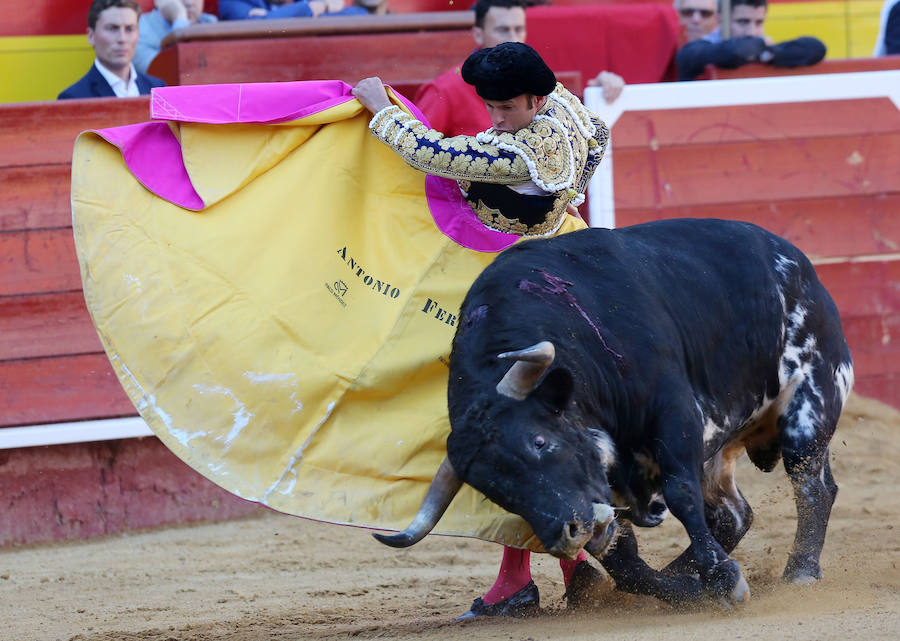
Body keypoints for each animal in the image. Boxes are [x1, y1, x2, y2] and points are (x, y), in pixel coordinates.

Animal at [376, 218, 856, 604]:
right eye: (493, 491)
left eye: (539, 441)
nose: (566, 535)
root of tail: (800, 266)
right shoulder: (602, 484)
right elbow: (621, 558)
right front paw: (684, 588)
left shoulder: (675, 412)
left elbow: (680, 496)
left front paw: (723, 580)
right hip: (719, 450)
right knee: (733, 514)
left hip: (810, 406)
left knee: (813, 488)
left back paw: (800, 572)